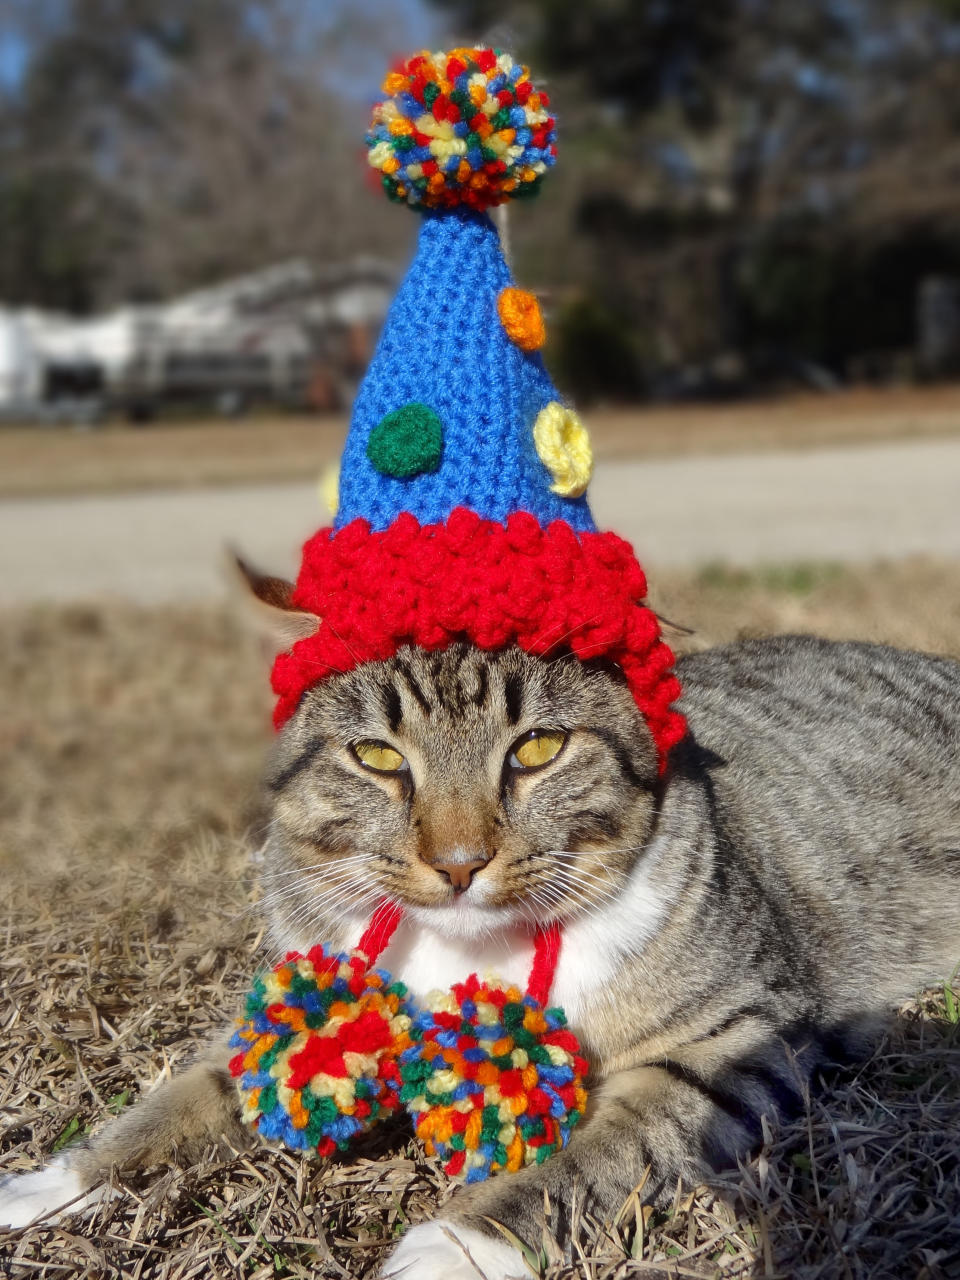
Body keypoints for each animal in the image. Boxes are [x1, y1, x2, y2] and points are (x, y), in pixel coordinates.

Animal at [1, 576, 960, 1274]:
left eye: (537, 748)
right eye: (377, 757)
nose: (459, 862)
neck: (461, 946)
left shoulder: (737, 1038)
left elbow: (608, 1149)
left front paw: (456, 1242)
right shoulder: (293, 1004)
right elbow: (182, 1100)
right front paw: (56, 1182)